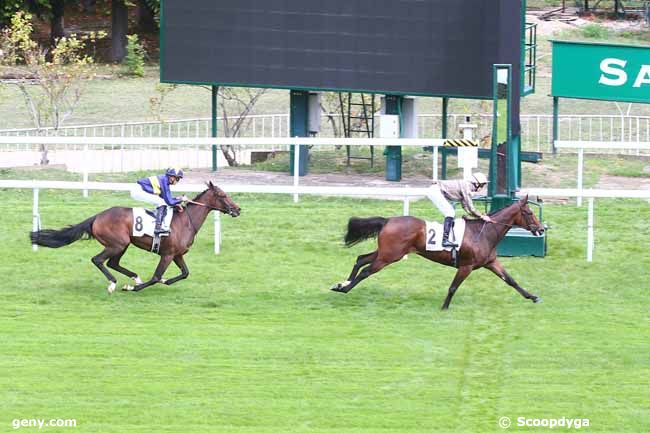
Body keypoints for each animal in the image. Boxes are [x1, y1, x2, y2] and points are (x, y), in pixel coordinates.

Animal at [29, 179, 239, 294]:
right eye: (222, 195)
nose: (238, 209)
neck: (185, 221)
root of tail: (97, 216)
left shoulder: (177, 254)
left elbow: (185, 273)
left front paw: (165, 281)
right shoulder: (167, 254)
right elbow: (155, 277)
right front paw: (132, 288)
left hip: (123, 244)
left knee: (112, 263)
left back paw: (135, 278)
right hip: (117, 243)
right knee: (98, 260)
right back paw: (113, 284)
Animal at [332, 194, 544, 308]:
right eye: (529, 213)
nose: (542, 229)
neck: (484, 232)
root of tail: (388, 220)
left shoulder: (491, 263)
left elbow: (511, 280)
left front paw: (533, 297)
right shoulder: (466, 266)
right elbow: (453, 287)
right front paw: (444, 307)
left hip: (386, 253)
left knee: (361, 259)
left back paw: (342, 283)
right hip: (389, 256)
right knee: (366, 270)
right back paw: (344, 288)